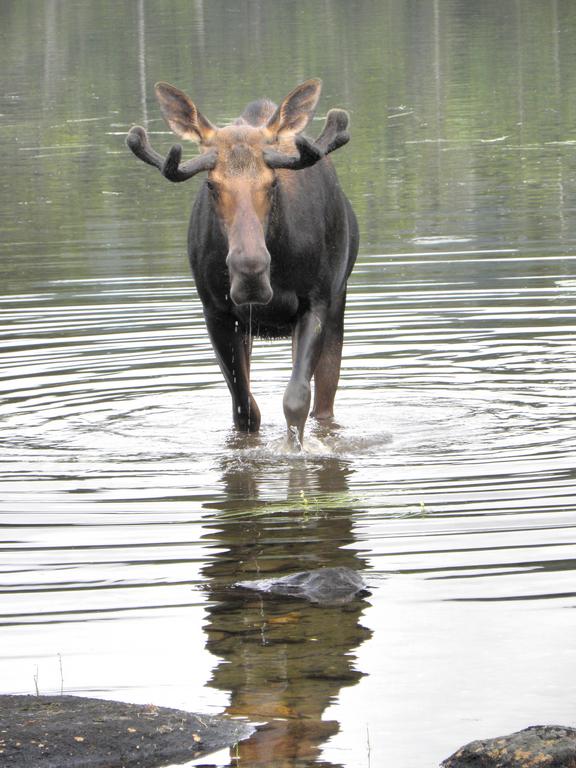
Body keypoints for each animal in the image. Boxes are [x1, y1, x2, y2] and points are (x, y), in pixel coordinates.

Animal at [128, 79, 358, 448]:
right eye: (211, 184)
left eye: (273, 181)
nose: (250, 272)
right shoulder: (217, 311)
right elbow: (245, 409)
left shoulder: (317, 302)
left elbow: (296, 399)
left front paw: (294, 450)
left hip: (338, 301)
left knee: (324, 404)